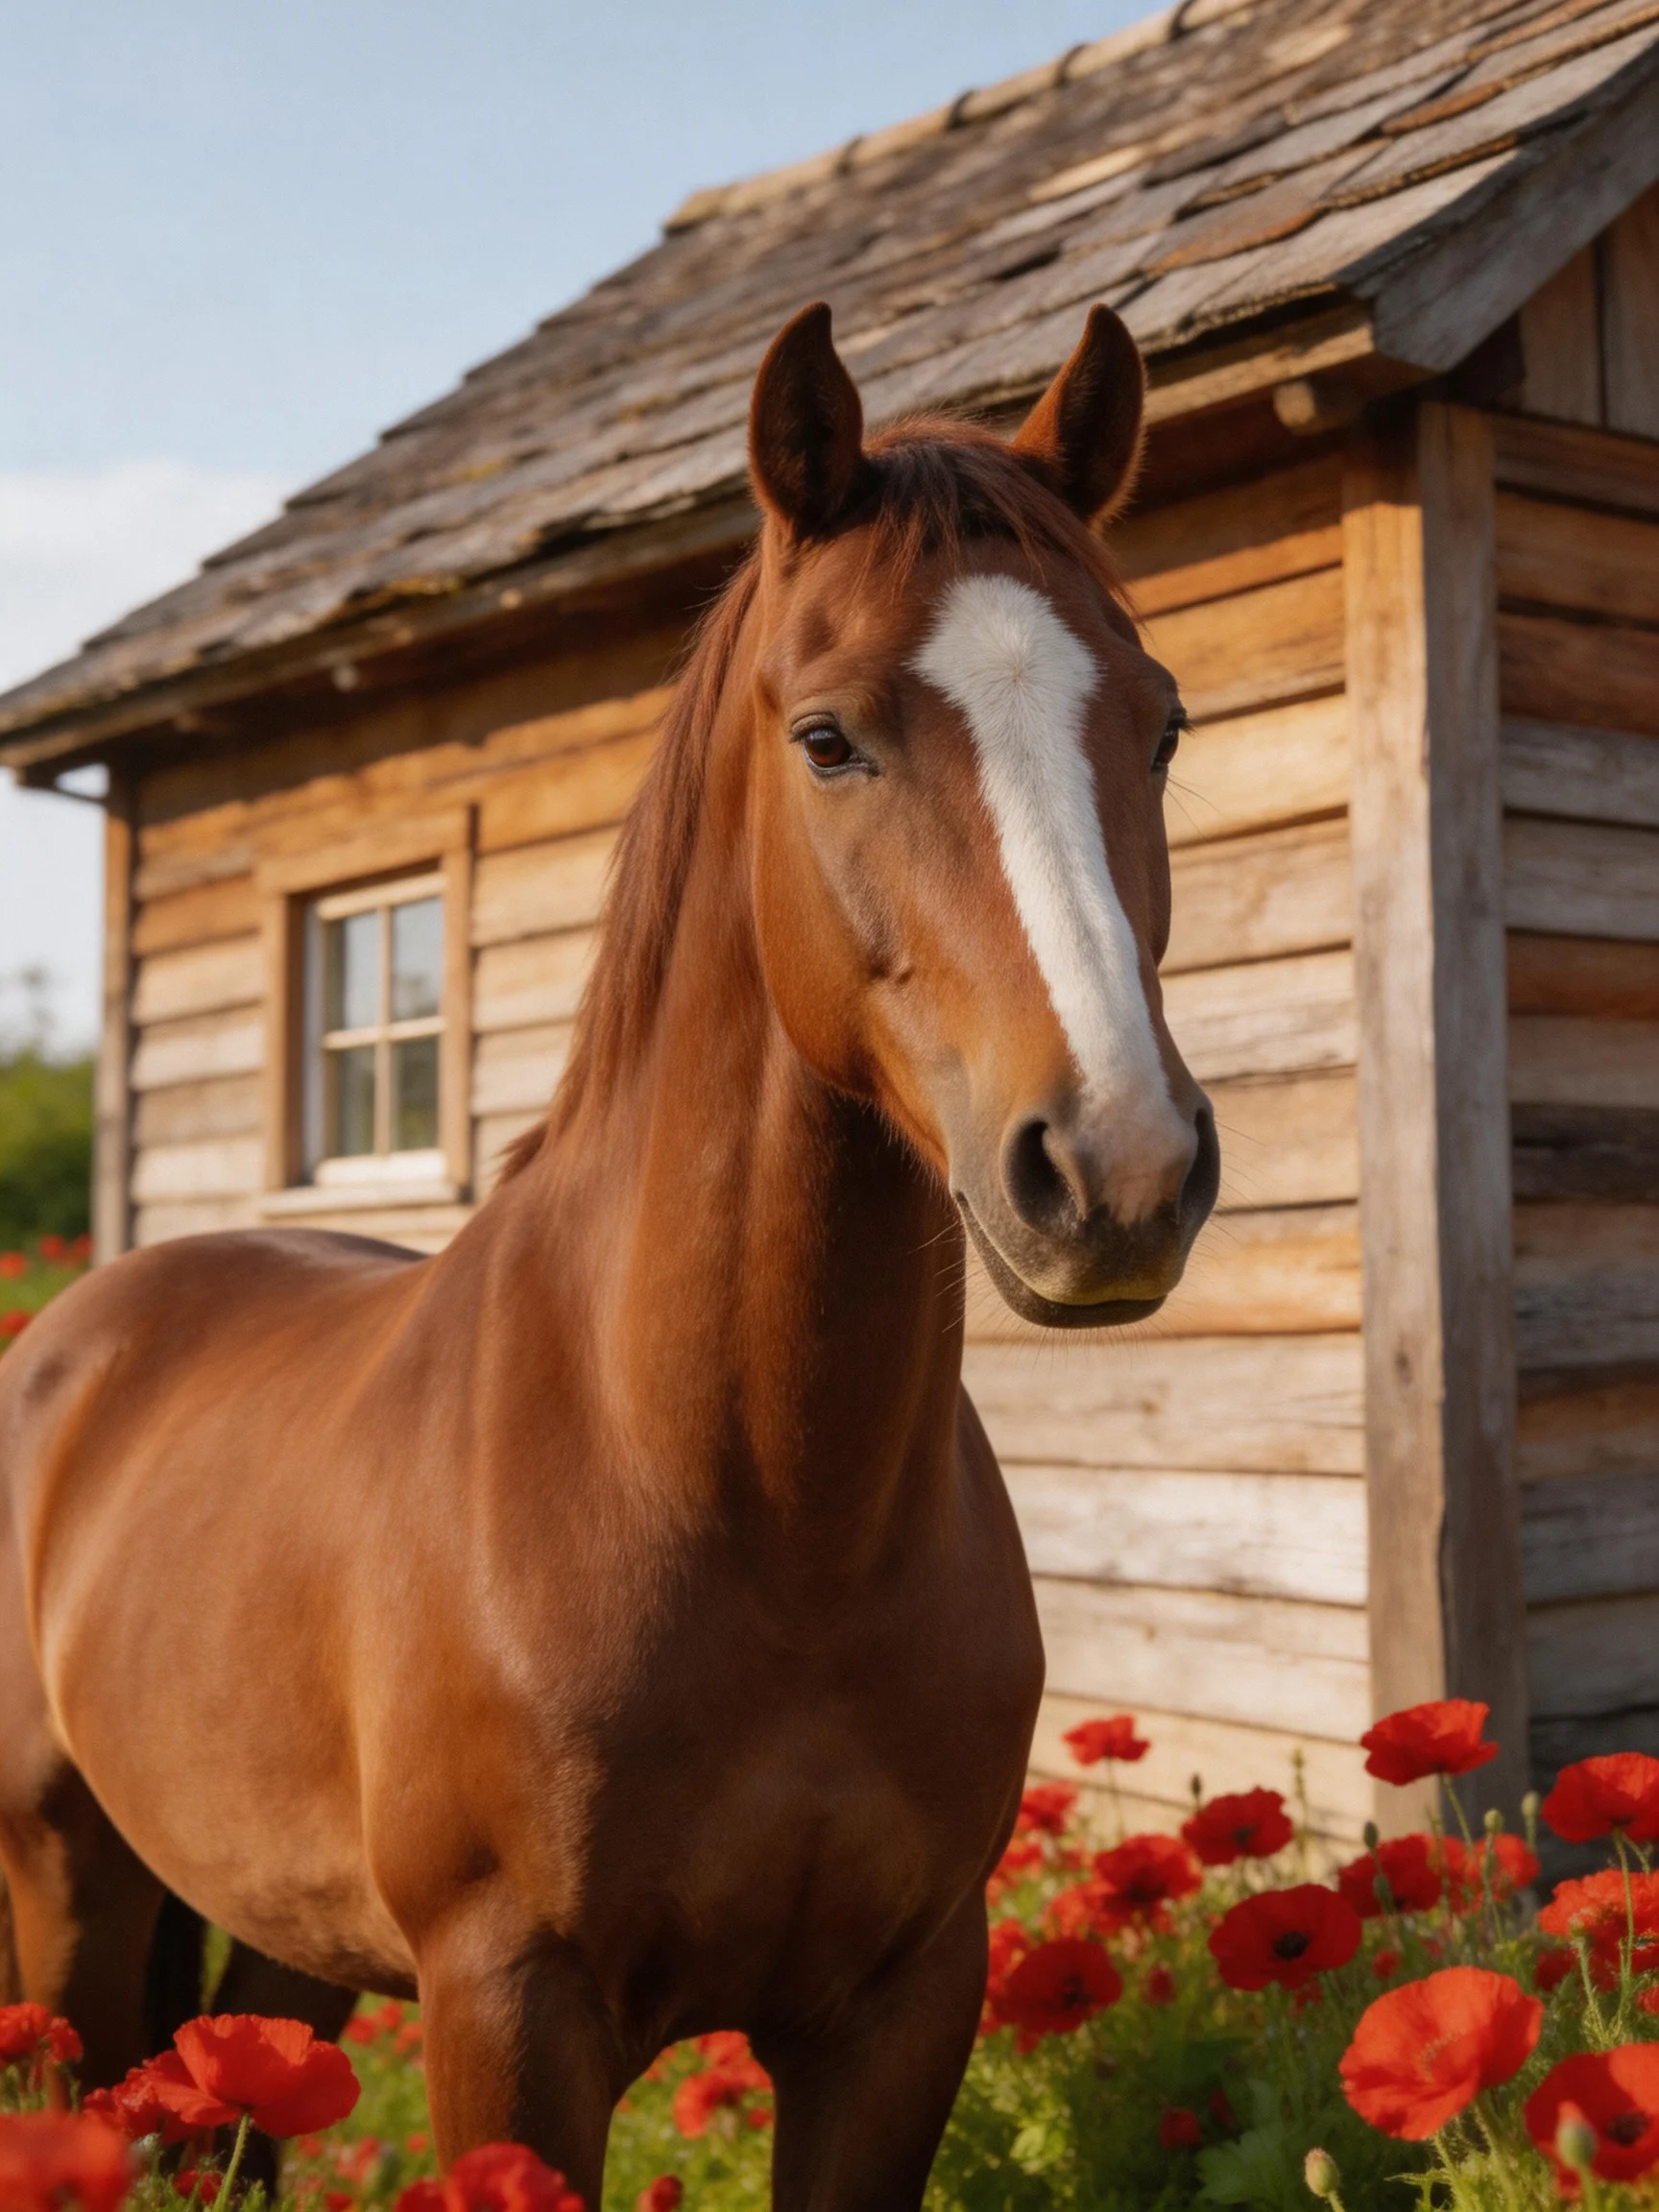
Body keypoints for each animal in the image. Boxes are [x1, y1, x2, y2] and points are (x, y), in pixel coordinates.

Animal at [0, 299, 1217, 2208]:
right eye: (828, 738)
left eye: (1159, 726)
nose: (1117, 1168)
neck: (748, 1503)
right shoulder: (512, 2014)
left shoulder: (899, 2010)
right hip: (65, 1890)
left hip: (273, 1950)